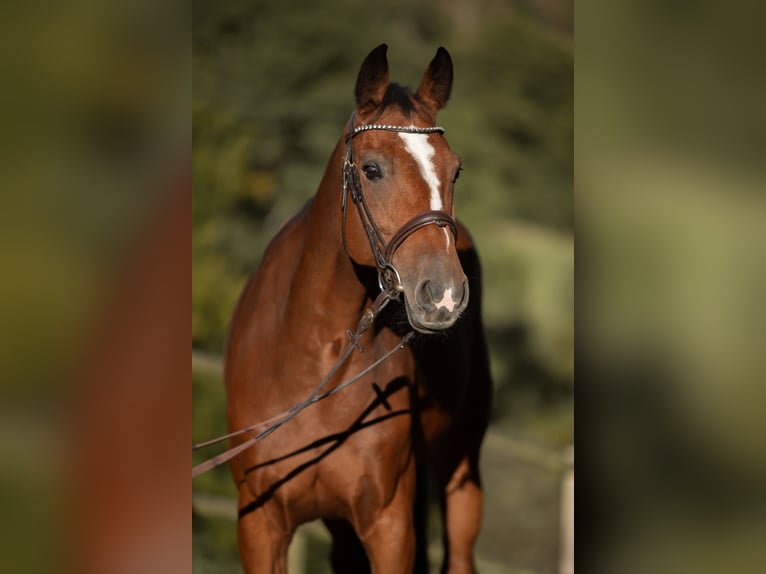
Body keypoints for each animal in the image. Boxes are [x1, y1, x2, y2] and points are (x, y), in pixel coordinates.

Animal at [225, 45, 496, 574]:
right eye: (371, 169)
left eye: (454, 170)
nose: (444, 294)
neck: (313, 359)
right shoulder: (260, 526)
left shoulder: (388, 526)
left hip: (462, 463)